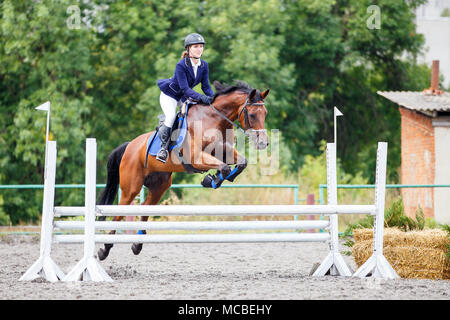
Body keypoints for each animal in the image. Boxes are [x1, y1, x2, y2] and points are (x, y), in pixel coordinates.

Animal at [96, 80, 268, 260]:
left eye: (265, 113)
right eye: (253, 115)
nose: (263, 143)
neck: (214, 120)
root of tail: (130, 145)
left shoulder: (223, 152)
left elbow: (240, 163)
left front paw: (212, 179)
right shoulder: (196, 158)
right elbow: (225, 167)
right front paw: (211, 179)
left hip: (159, 185)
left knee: (145, 207)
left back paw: (137, 245)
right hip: (131, 187)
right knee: (118, 213)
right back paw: (105, 249)